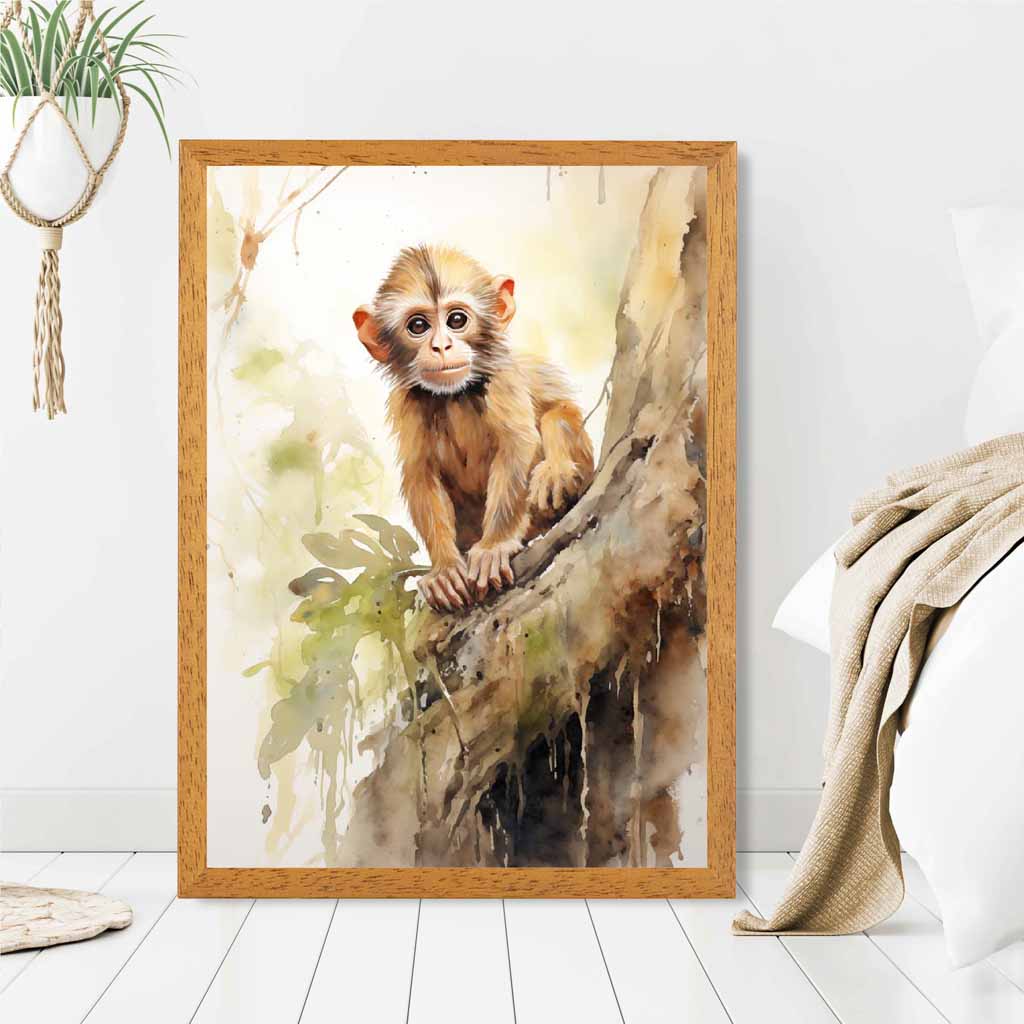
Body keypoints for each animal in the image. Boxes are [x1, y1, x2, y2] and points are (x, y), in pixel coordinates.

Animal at [352, 245, 595, 612]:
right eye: (418, 325)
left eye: (457, 320)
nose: (441, 347)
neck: (457, 393)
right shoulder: (405, 401)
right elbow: (419, 471)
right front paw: (445, 569)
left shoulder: (503, 376)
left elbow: (518, 444)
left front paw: (494, 545)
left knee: (556, 417)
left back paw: (556, 475)